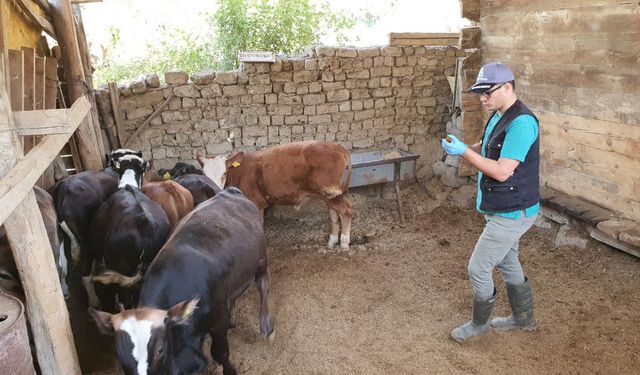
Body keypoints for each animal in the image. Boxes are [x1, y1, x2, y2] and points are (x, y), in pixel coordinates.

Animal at [87, 188, 272, 375]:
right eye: (120, 355)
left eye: (160, 350)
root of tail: (230, 190)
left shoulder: (218, 320)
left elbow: (220, 353)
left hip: (261, 260)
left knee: (263, 285)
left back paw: (266, 324)